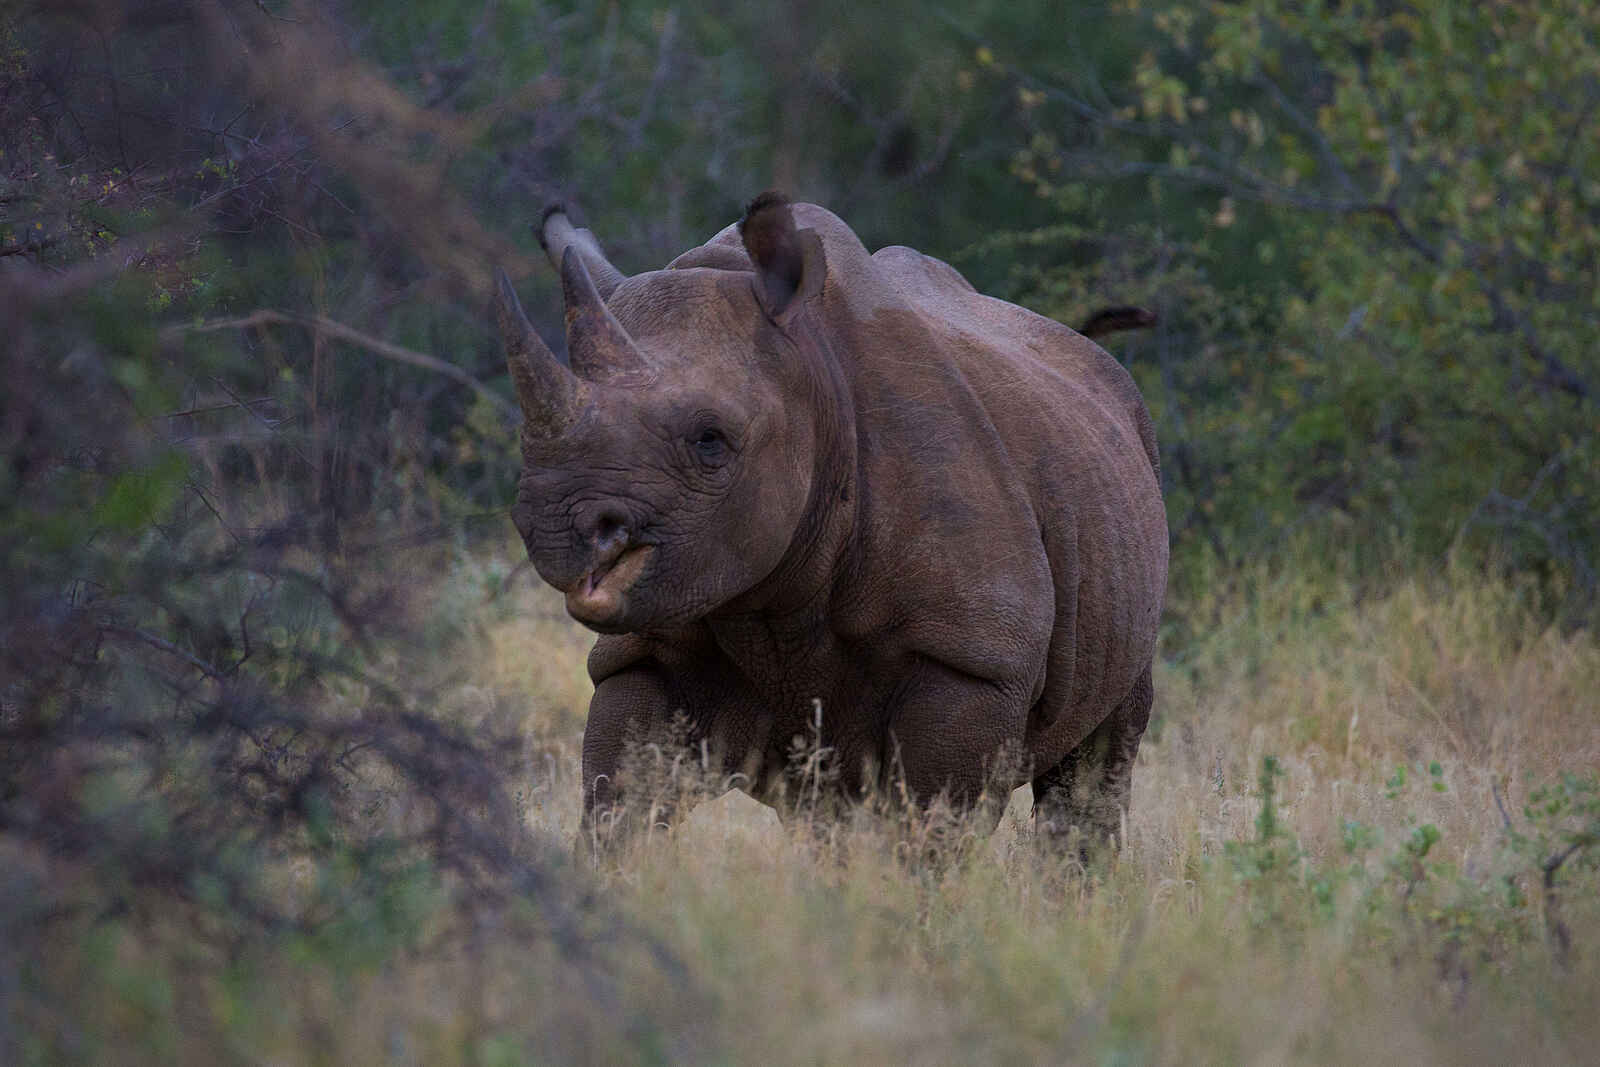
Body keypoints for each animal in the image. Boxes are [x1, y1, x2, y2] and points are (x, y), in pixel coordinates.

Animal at [495, 193, 1168, 851]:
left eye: (711, 441)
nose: (557, 527)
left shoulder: (976, 657)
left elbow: (931, 831)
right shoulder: (649, 640)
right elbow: (618, 803)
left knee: (1096, 763)